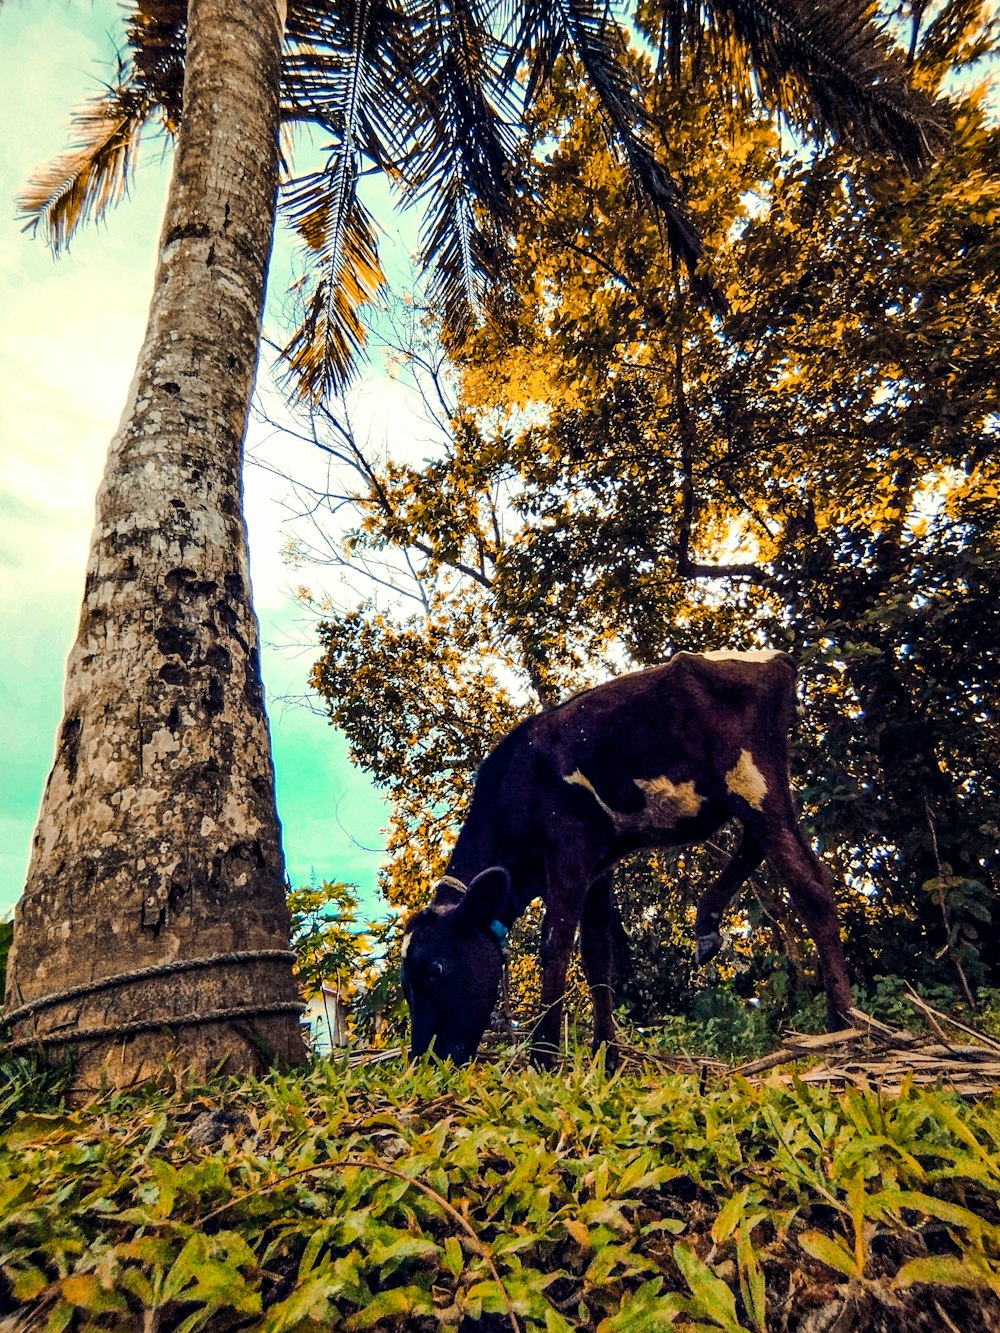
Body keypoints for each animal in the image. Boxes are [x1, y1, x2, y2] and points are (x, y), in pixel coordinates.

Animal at [402, 650, 858, 1066]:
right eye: (406, 986)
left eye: (436, 968)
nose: (426, 1060)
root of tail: (775, 659)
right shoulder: (599, 864)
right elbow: (597, 955)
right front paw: (607, 1056)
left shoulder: (568, 842)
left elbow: (556, 942)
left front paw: (543, 1055)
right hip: (751, 786)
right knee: (766, 849)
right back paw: (707, 924)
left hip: (751, 778)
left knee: (810, 884)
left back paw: (844, 1024)